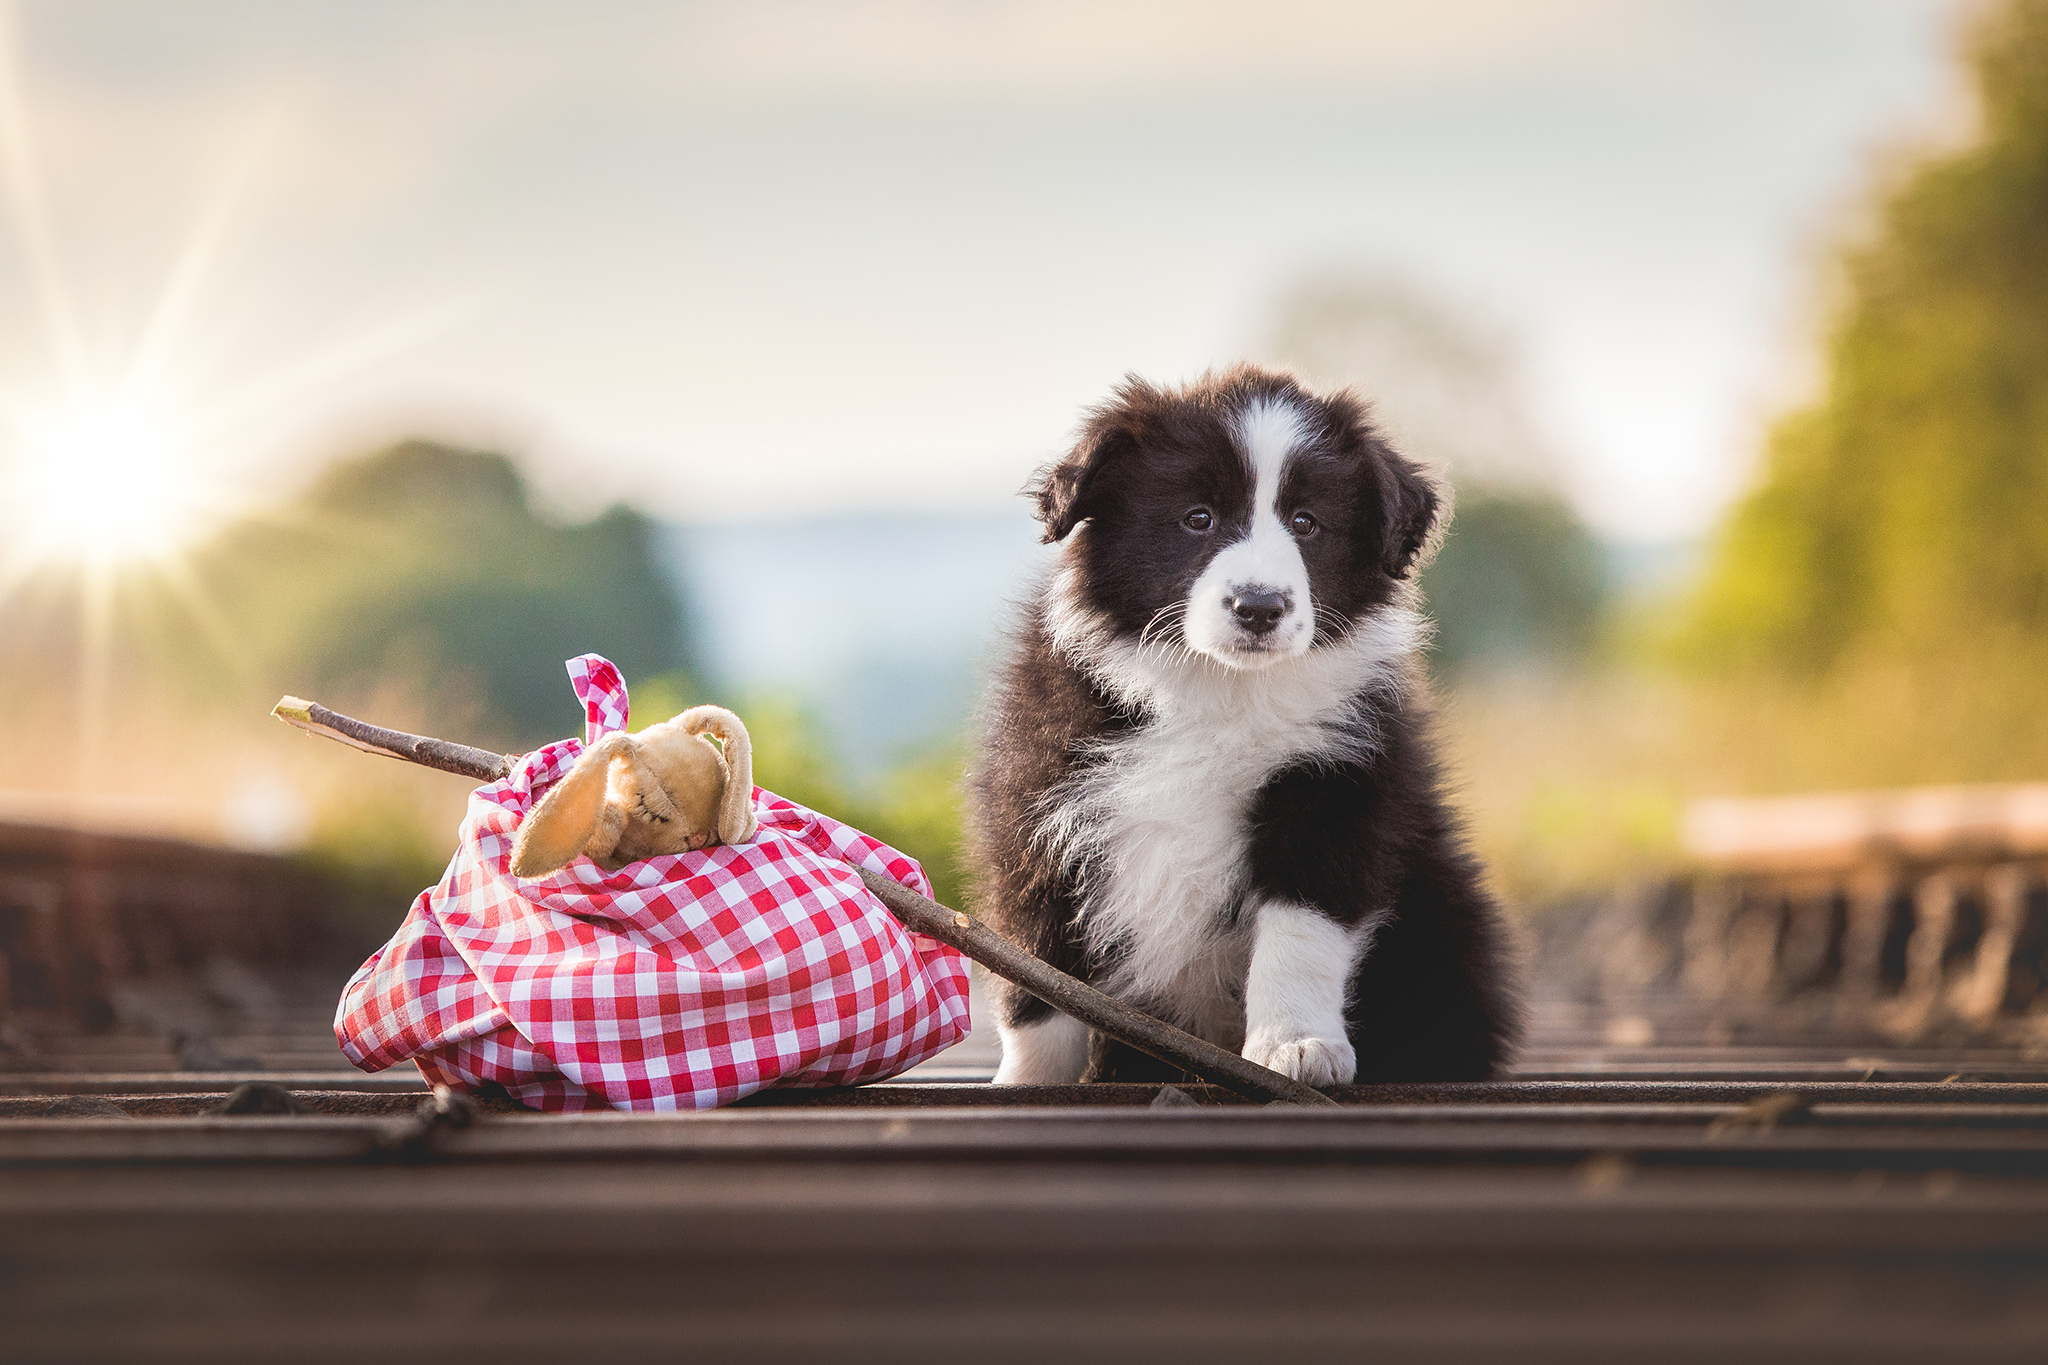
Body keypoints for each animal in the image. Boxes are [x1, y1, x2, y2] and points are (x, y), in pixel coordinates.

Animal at [962, 366, 1523, 1088]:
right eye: (1196, 518)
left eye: (1307, 524)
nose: (1259, 606)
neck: (1217, 687)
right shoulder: (1036, 795)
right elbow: (1038, 968)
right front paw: (1029, 1079)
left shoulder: (1337, 790)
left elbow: (1300, 936)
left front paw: (1296, 1046)